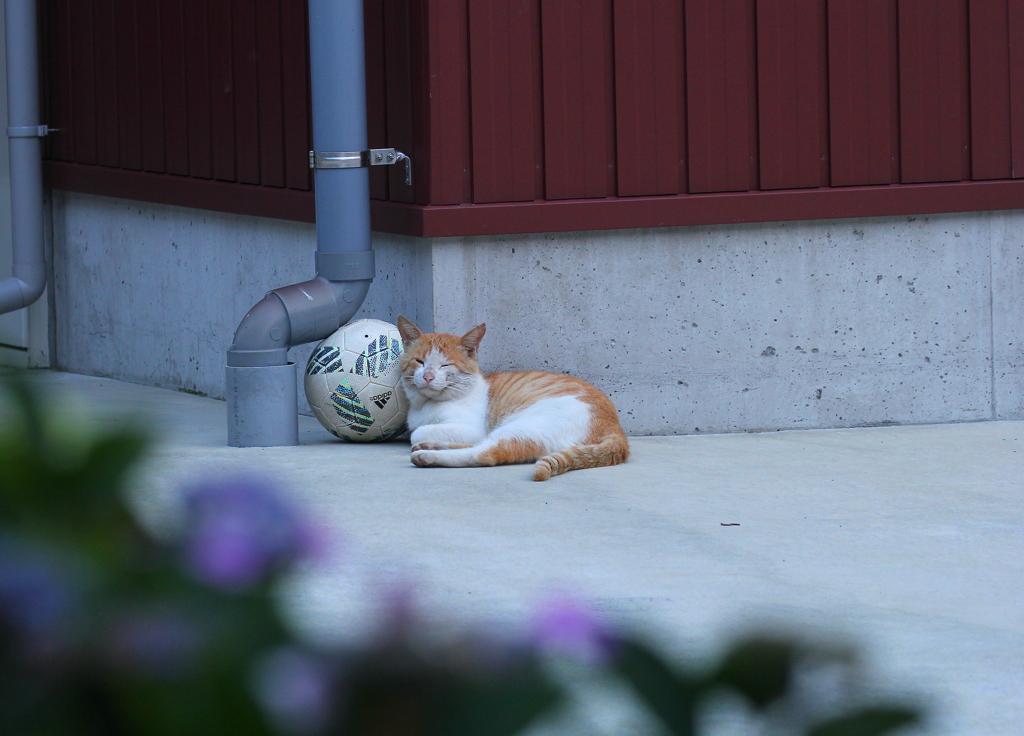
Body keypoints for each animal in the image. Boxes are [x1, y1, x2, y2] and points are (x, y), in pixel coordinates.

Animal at [393, 317, 626, 483]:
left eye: (445, 365)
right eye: (419, 361)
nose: (428, 376)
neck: (425, 405)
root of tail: (615, 428)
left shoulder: (472, 428)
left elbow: (418, 431)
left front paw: (422, 436)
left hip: (524, 426)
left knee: (485, 453)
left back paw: (427, 455)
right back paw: (432, 447)